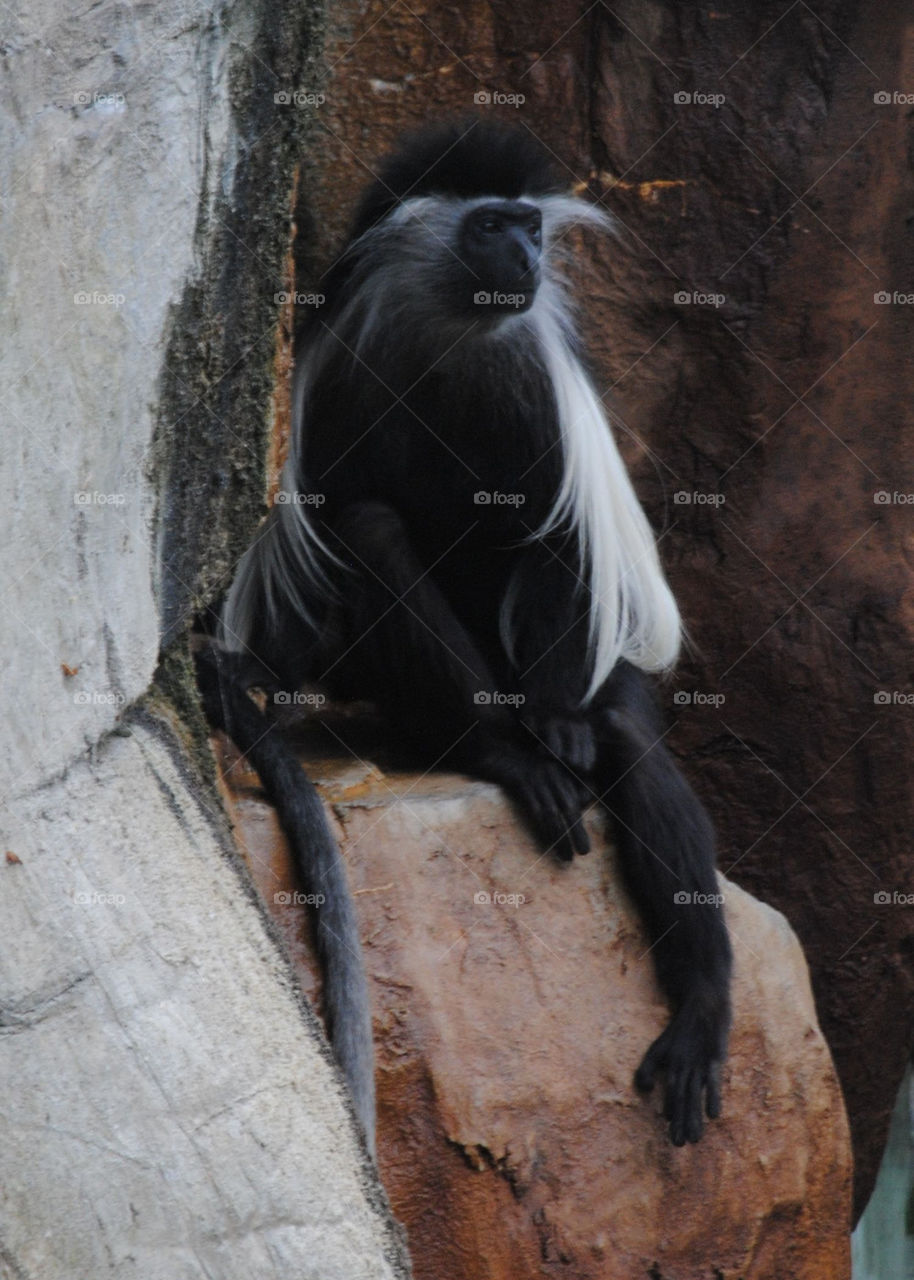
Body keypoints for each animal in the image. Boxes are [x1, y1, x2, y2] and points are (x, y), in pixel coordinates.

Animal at [199, 118, 732, 1155]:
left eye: (530, 225)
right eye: (492, 225)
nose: (527, 257)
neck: (451, 325)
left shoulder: (533, 369)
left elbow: (564, 534)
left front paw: (562, 728)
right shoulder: (345, 356)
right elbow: (336, 525)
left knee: (628, 735)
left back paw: (697, 1001)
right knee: (372, 532)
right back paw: (501, 752)